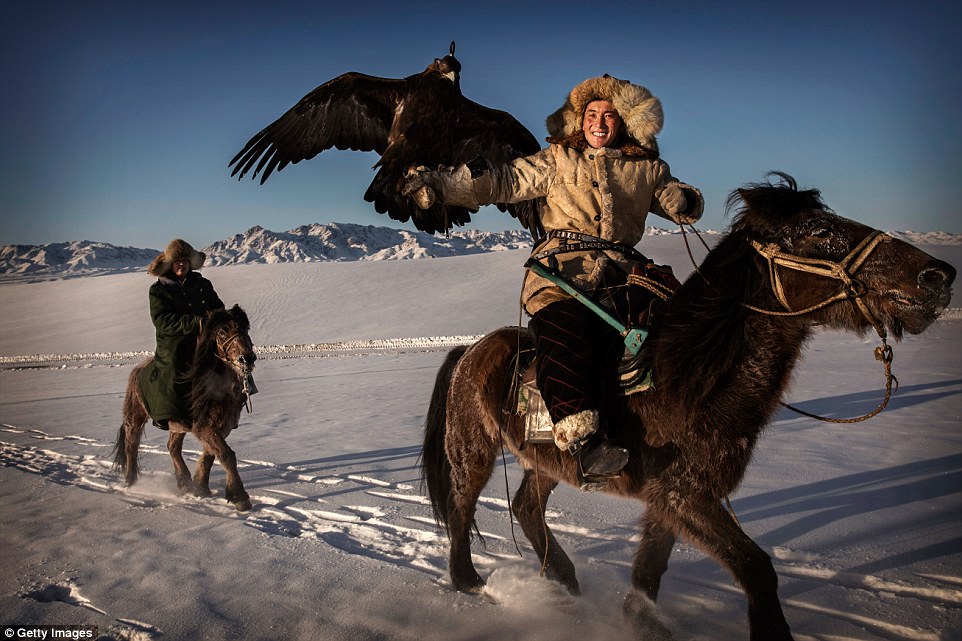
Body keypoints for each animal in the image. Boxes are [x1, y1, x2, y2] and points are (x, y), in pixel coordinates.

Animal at [113, 304, 256, 510]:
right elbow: (226, 454)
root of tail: (137, 370)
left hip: (176, 425)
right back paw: (131, 482)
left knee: (173, 446)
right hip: (135, 417)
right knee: (131, 445)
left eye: (245, 328)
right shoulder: (203, 426)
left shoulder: (222, 426)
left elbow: (210, 455)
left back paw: (184, 482)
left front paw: (201, 488)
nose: (247, 359)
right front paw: (240, 497)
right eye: (222, 332)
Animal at [420, 172, 952, 636]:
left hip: (550, 458)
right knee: (464, 504)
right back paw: (471, 582)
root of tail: (470, 352)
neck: (684, 375)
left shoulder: (670, 496)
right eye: (820, 230)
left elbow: (650, 570)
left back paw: (565, 583)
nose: (938, 275)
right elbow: (756, 568)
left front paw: (642, 623)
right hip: (472, 448)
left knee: (527, 505)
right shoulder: (685, 493)